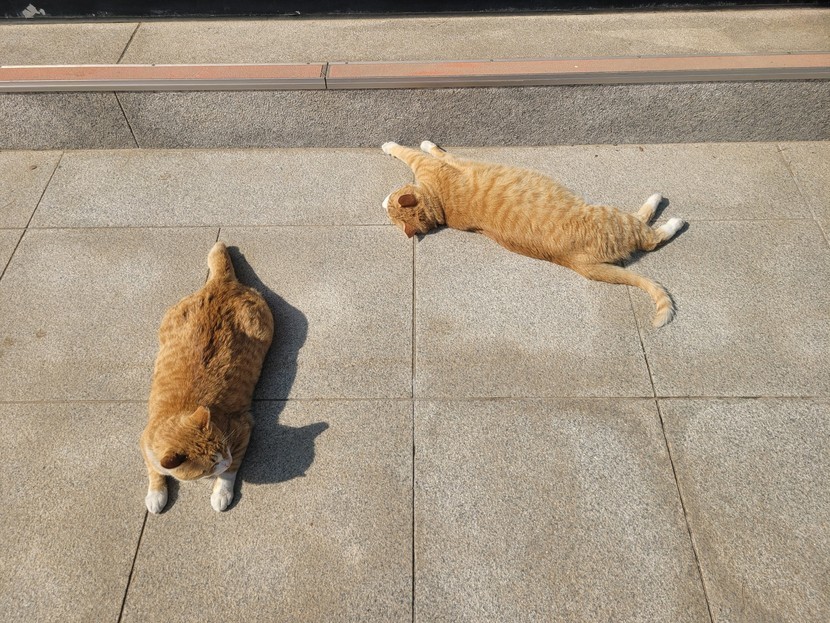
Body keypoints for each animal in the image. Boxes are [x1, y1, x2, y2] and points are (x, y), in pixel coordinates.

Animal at [140, 242, 274, 513]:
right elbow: (154, 471)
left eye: (224, 447)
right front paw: (156, 494)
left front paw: (221, 492)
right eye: (210, 464)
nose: (227, 458)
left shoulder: (242, 430)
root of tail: (220, 283)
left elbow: (230, 474)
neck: (179, 411)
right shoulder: (145, 443)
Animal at [382, 141, 685, 327]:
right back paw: (669, 214)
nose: (382, 203)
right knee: (648, 236)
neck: (440, 206)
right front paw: (392, 145)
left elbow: (428, 150)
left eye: (390, 205)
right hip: (612, 217)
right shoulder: (436, 163)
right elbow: (412, 152)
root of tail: (572, 262)